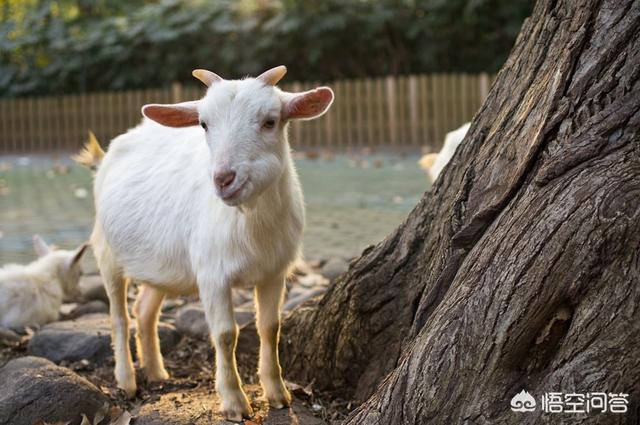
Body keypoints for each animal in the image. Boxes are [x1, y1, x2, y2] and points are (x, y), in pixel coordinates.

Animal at [82, 64, 332, 420]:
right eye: (204, 124)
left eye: (270, 121)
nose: (224, 179)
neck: (250, 223)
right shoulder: (213, 274)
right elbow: (226, 334)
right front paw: (234, 402)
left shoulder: (274, 272)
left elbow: (270, 327)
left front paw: (278, 393)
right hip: (107, 253)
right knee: (119, 316)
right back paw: (127, 380)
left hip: (161, 261)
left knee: (144, 310)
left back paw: (157, 371)